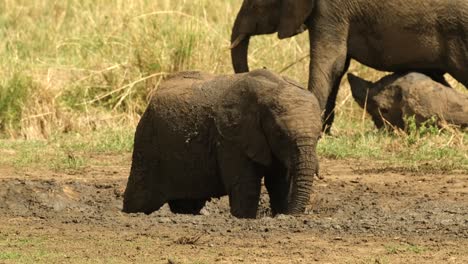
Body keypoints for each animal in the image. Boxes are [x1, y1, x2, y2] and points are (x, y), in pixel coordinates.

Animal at [122, 68, 324, 219]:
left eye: (319, 137)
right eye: (280, 135)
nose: (290, 215)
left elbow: (279, 184)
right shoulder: (230, 137)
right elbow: (246, 186)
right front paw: (245, 218)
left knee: (187, 204)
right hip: (147, 142)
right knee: (139, 199)